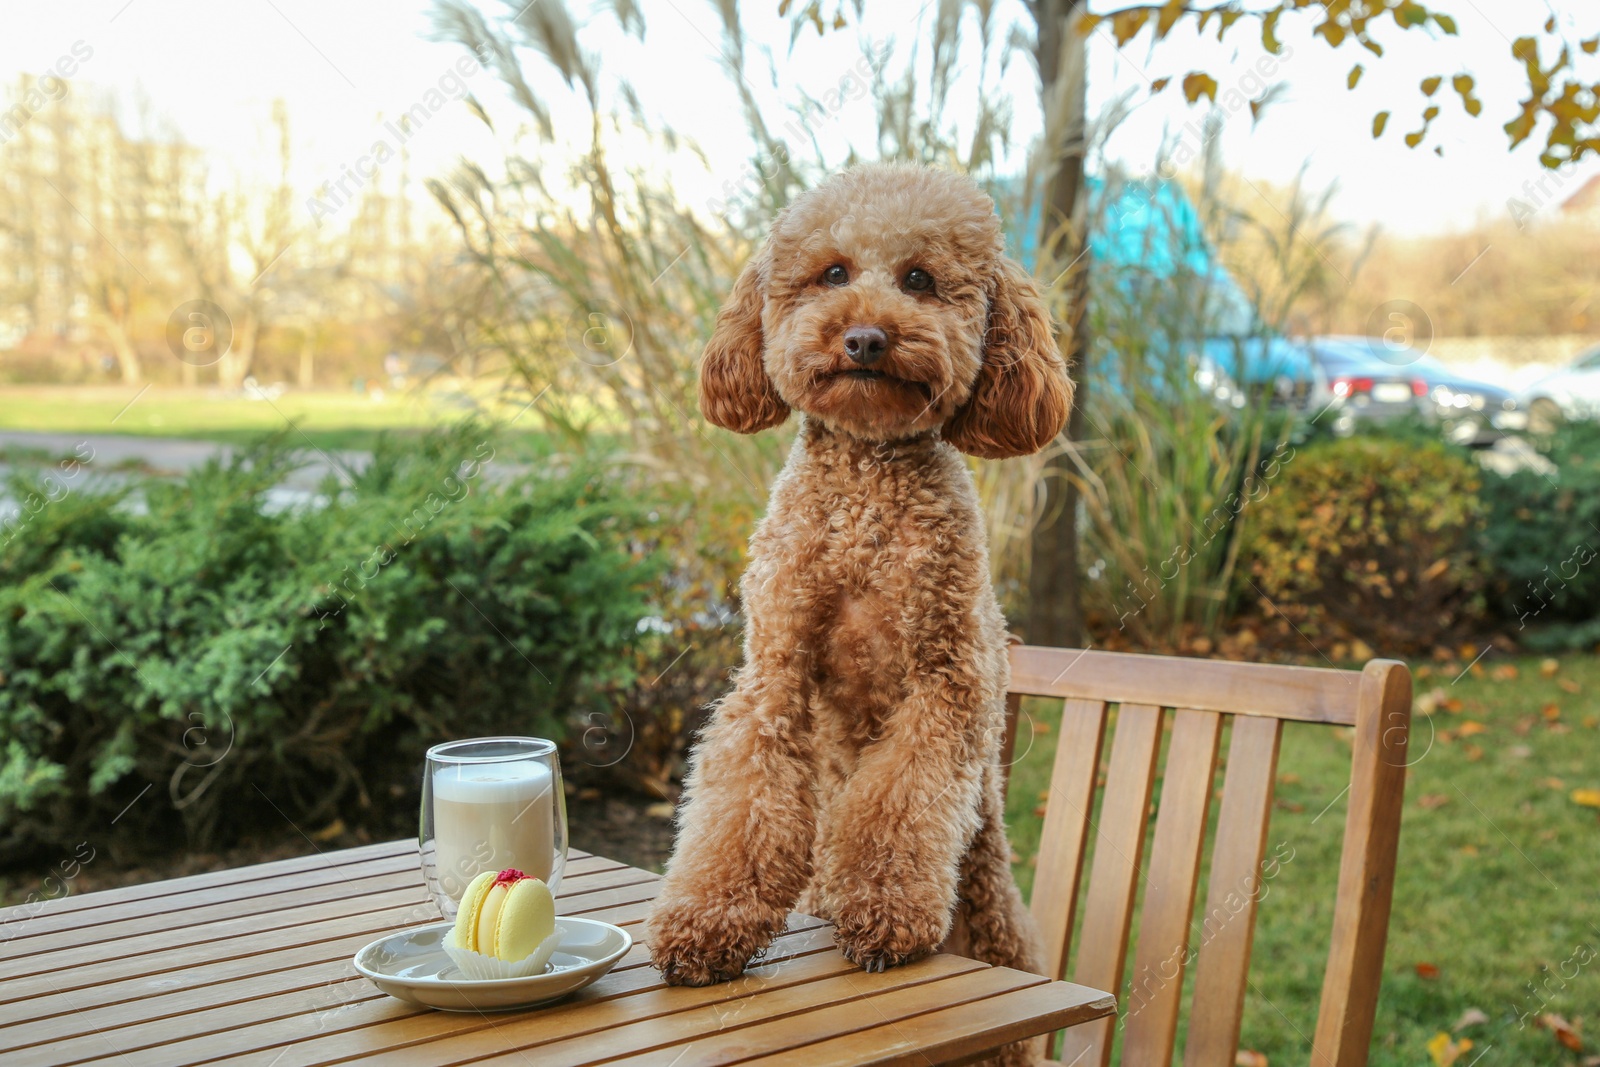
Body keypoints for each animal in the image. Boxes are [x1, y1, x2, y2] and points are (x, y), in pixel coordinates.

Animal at [643, 164, 1068, 1049]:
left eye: (920, 279)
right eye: (832, 272)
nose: (866, 338)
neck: (869, 487)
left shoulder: (948, 678)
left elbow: (897, 801)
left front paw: (882, 914)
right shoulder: (774, 671)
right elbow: (743, 801)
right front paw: (706, 923)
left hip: (992, 907)